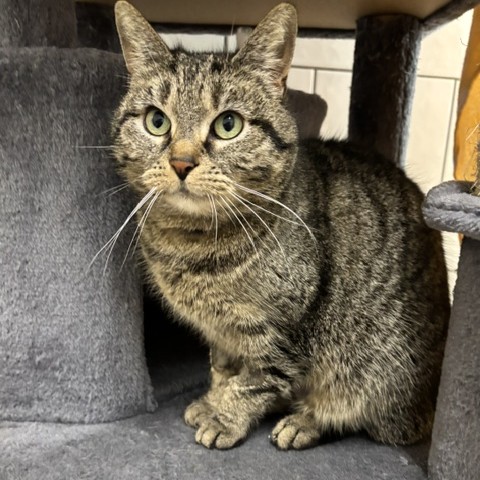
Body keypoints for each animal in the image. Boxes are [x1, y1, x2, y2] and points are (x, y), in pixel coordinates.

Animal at [112, 1, 450, 450]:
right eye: (156, 122)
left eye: (228, 125)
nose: (181, 163)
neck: (192, 242)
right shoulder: (221, 335)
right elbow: (222, 370)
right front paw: (214, 400)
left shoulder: (282, 334)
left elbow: (255, 381)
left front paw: (225, 416)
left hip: (379, 373)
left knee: (365, 417)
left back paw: (304, 421)